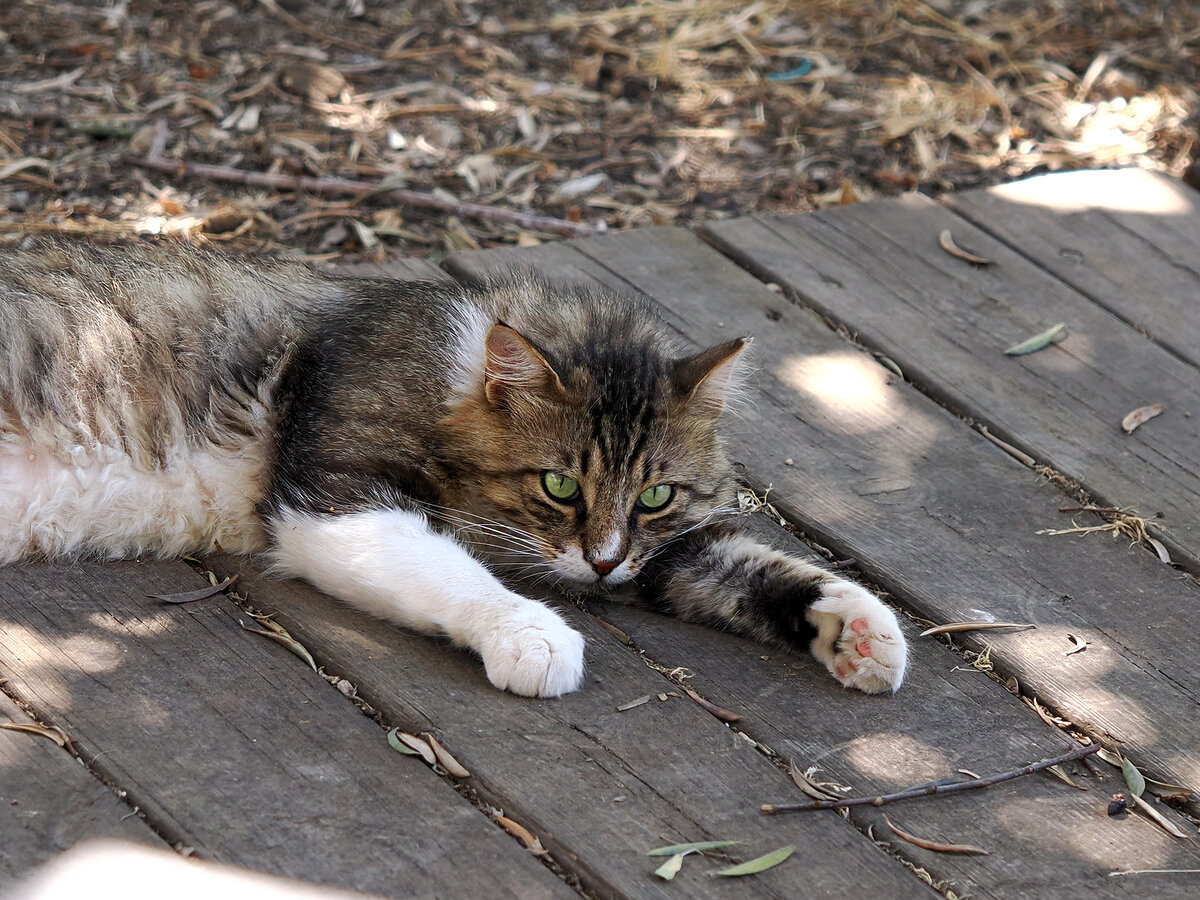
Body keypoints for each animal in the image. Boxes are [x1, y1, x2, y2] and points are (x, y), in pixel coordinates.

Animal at [0, 237, 902, 696]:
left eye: (655, 495)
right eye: (559, 484)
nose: (602, 563)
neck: (450, 368)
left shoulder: (658, 552)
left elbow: (748, 563)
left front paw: (857, 627)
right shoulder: (338, 499)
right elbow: (454, 574)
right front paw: (533, 634)